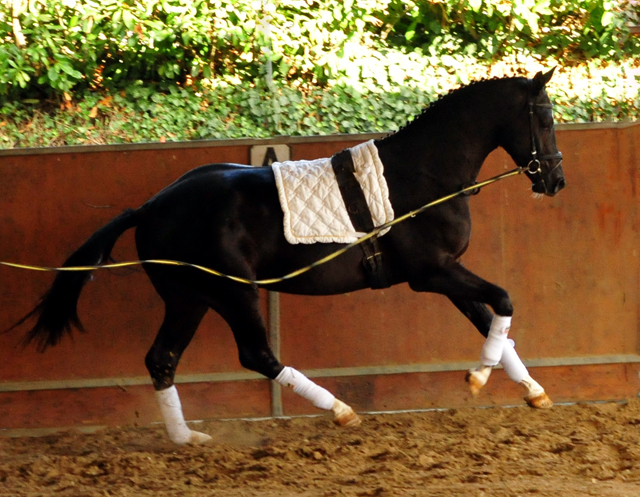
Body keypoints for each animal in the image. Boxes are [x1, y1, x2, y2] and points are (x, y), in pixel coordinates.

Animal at [13, 69, 564, 442]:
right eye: (544, 117)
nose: (556, 180)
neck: (424, 175)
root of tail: (150, 207)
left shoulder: (446, 274)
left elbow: (491, 322)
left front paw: (530, 389)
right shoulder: (433, 272)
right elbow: (504, 301)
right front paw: (481, 377)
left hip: (189, 298)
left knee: (162, 358)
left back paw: (186, 438)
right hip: (232, 292)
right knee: (255, 355)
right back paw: (339, 409)